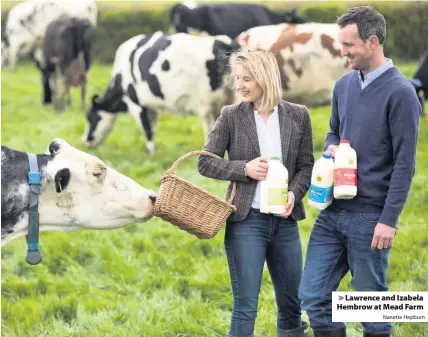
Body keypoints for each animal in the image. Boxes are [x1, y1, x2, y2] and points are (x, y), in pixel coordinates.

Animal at [80, 31, 234, 152]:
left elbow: (146, 129)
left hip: (206, 104)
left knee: (209, 129)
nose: (85, 141)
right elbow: (152, 128)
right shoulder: (152, 108)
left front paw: (150, 152)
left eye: (90, 117)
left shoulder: (136, 104)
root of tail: (223, 43)